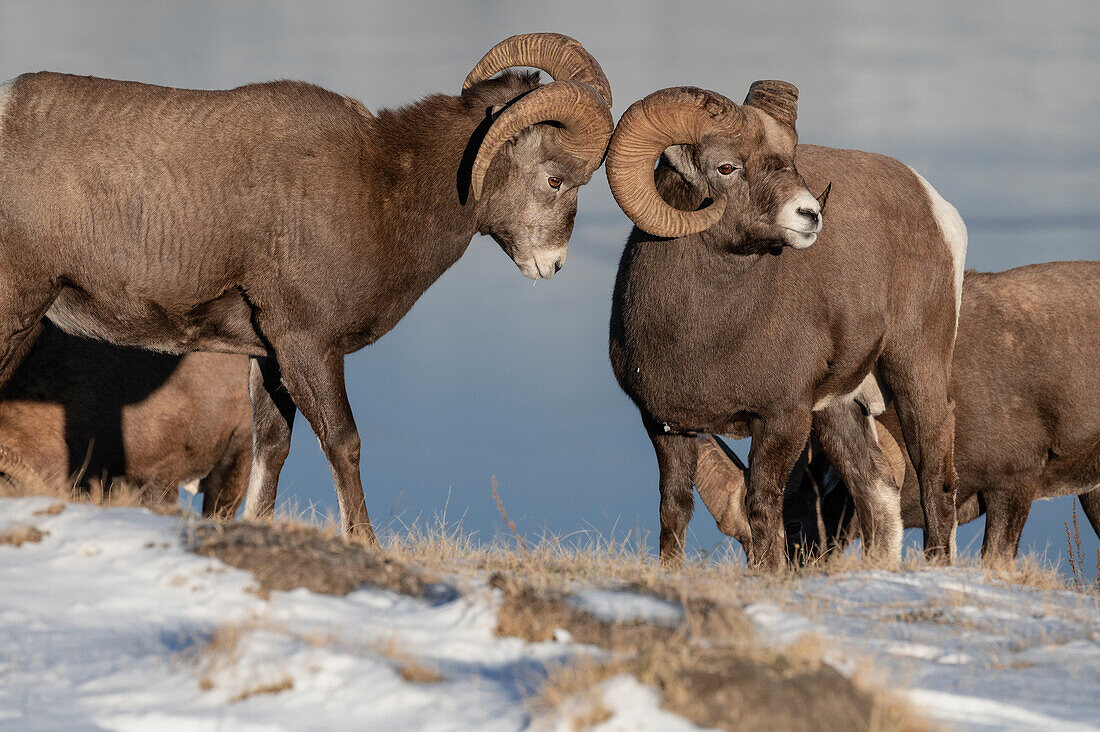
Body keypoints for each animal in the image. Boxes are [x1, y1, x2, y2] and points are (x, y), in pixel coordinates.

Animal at [607, 84, 968, 563]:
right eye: (727, 167)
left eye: (791, 162)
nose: (810, 215)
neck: (700, 335)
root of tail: (937, 209)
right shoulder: (665, 424)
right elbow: (674, 509)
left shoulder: (782, 420)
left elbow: (762, 505)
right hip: (839, 409)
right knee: (876, 490)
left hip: (915, 373)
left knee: (935, 482)